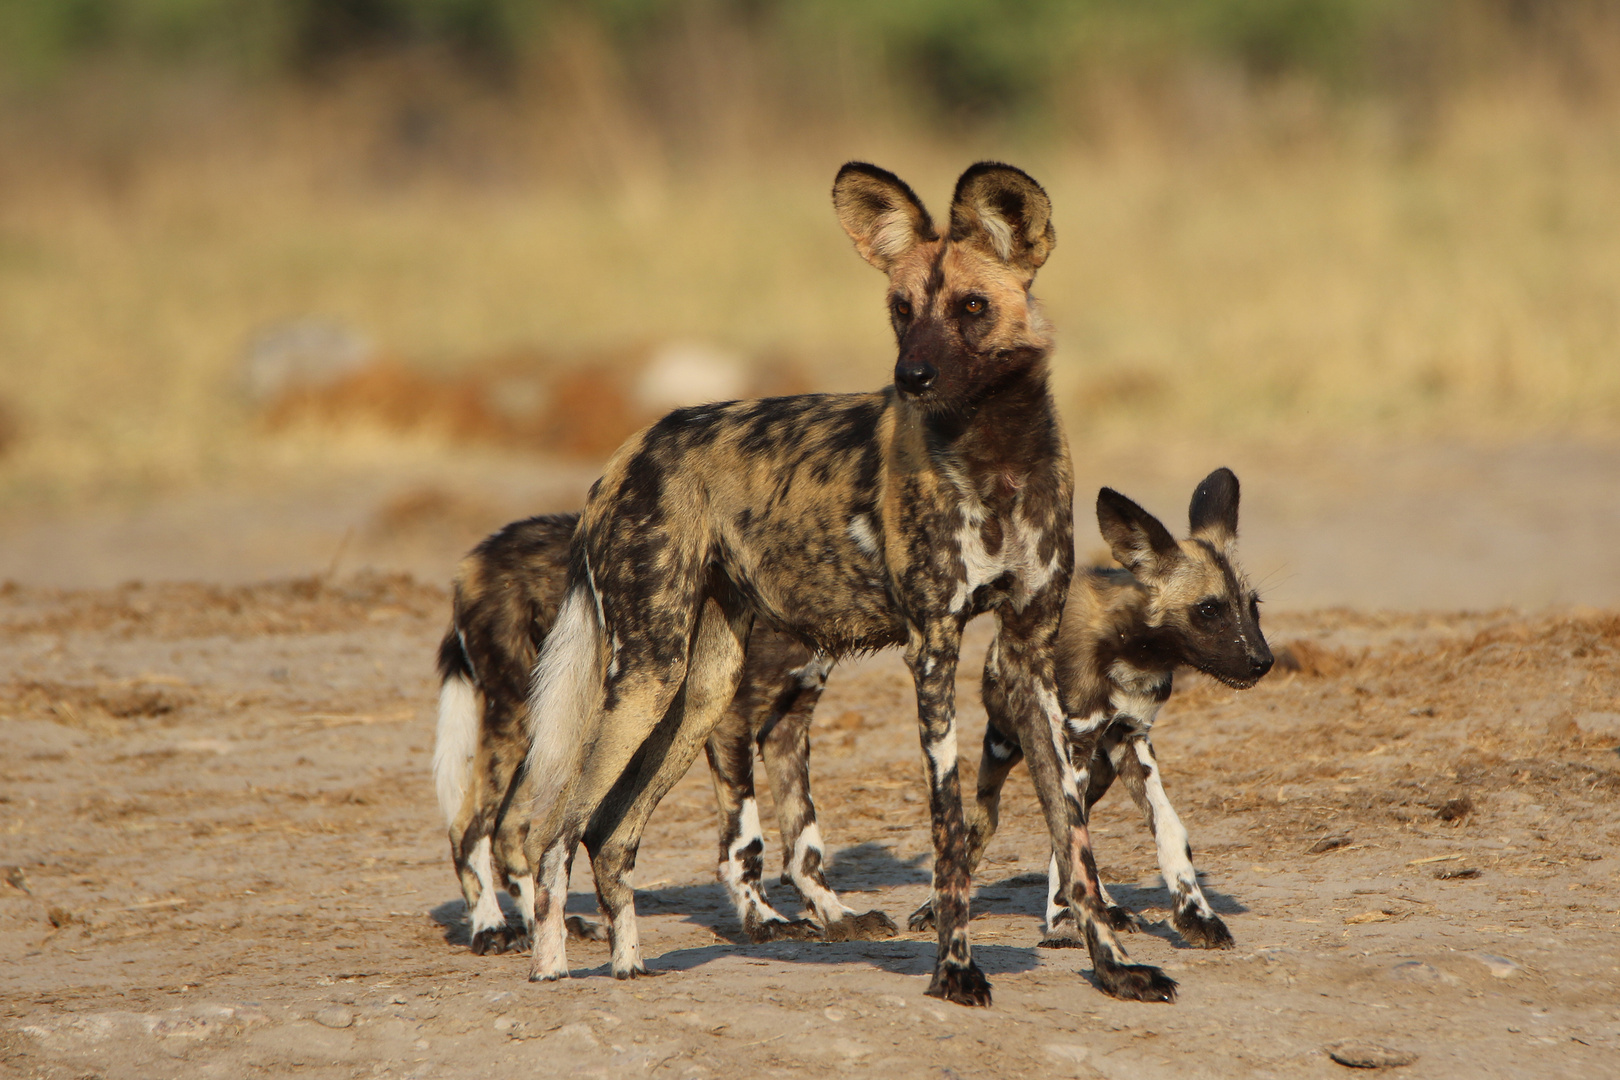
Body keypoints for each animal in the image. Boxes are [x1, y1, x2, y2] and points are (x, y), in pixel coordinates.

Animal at [430, 514, 900, 952]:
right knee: (469, 829)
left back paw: (549, 925)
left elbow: (805, 841)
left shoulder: (788, 727)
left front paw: (838, 916)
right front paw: (766, 922)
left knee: (511, 832)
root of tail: (478, 557)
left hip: (553, 736)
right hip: (517, 719)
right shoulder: (728, 721)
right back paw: (491, 928)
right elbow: (746, 843)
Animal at [508, 158, 1179, 1003]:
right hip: (645, 679)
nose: (911, 376)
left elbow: (1074, 836)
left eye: (971, 307)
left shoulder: (1030, 656)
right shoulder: (932, 651)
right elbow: (951, 832)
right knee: (554, 828)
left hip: (700, 690)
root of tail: (626, 452)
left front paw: (1113, 968)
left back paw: (629, 962)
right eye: (901, 310)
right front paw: (956, 970)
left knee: (609, 830)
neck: (997, 454)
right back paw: (550, 964)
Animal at [920, 469, 1270, 952]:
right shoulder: (1075, 745)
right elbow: (1066, 836)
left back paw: (1107, 907)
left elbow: (1169, 830)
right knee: (982, 823)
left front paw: (1196, 915)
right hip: (1005, 750)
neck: (1131, 652)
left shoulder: (1132, 739)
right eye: (1208, 610)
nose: (1263, 661)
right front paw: (1065, 919)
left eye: (1253, 607)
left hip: (1103, 769)